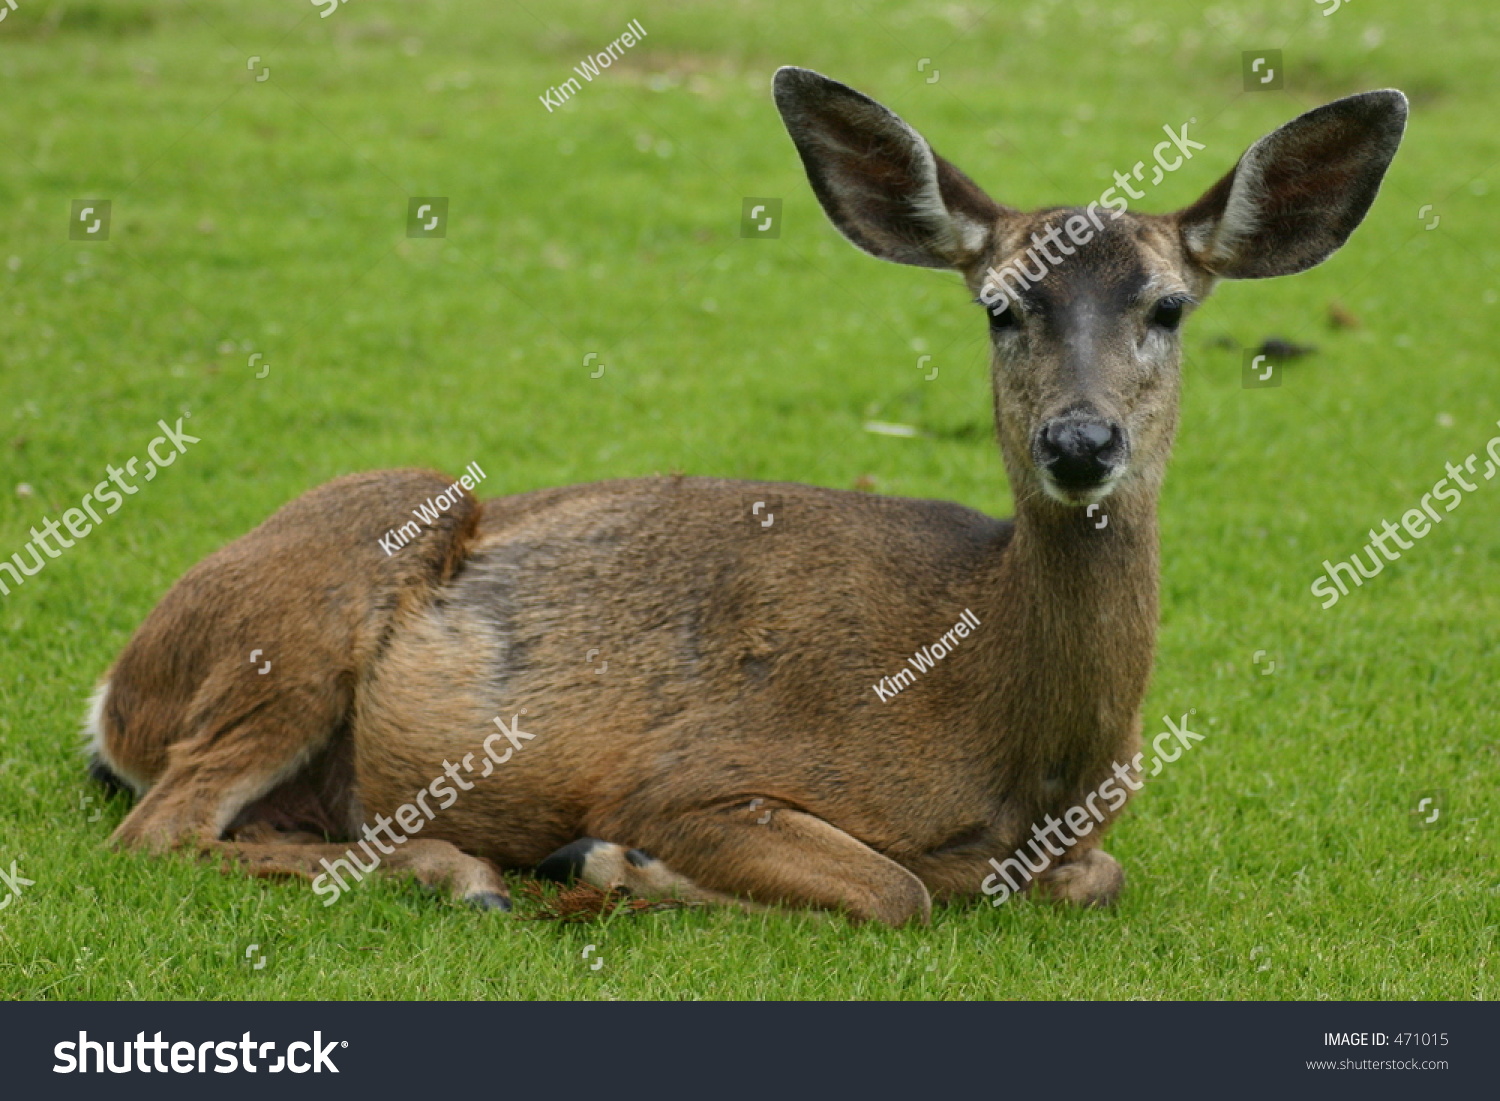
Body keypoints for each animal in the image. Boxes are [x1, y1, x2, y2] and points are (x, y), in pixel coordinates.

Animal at [87, 73, 1404, 930]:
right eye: (1000, 307)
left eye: (1169, 306)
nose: (1081, 440)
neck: (1008, 747)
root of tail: (112, 696)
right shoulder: (691, 772)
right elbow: (896, 889)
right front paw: (616, 866)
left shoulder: (1083, 840)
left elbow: (1095, 877)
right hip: (311, 609)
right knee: (155, 832)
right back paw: (468, 874)